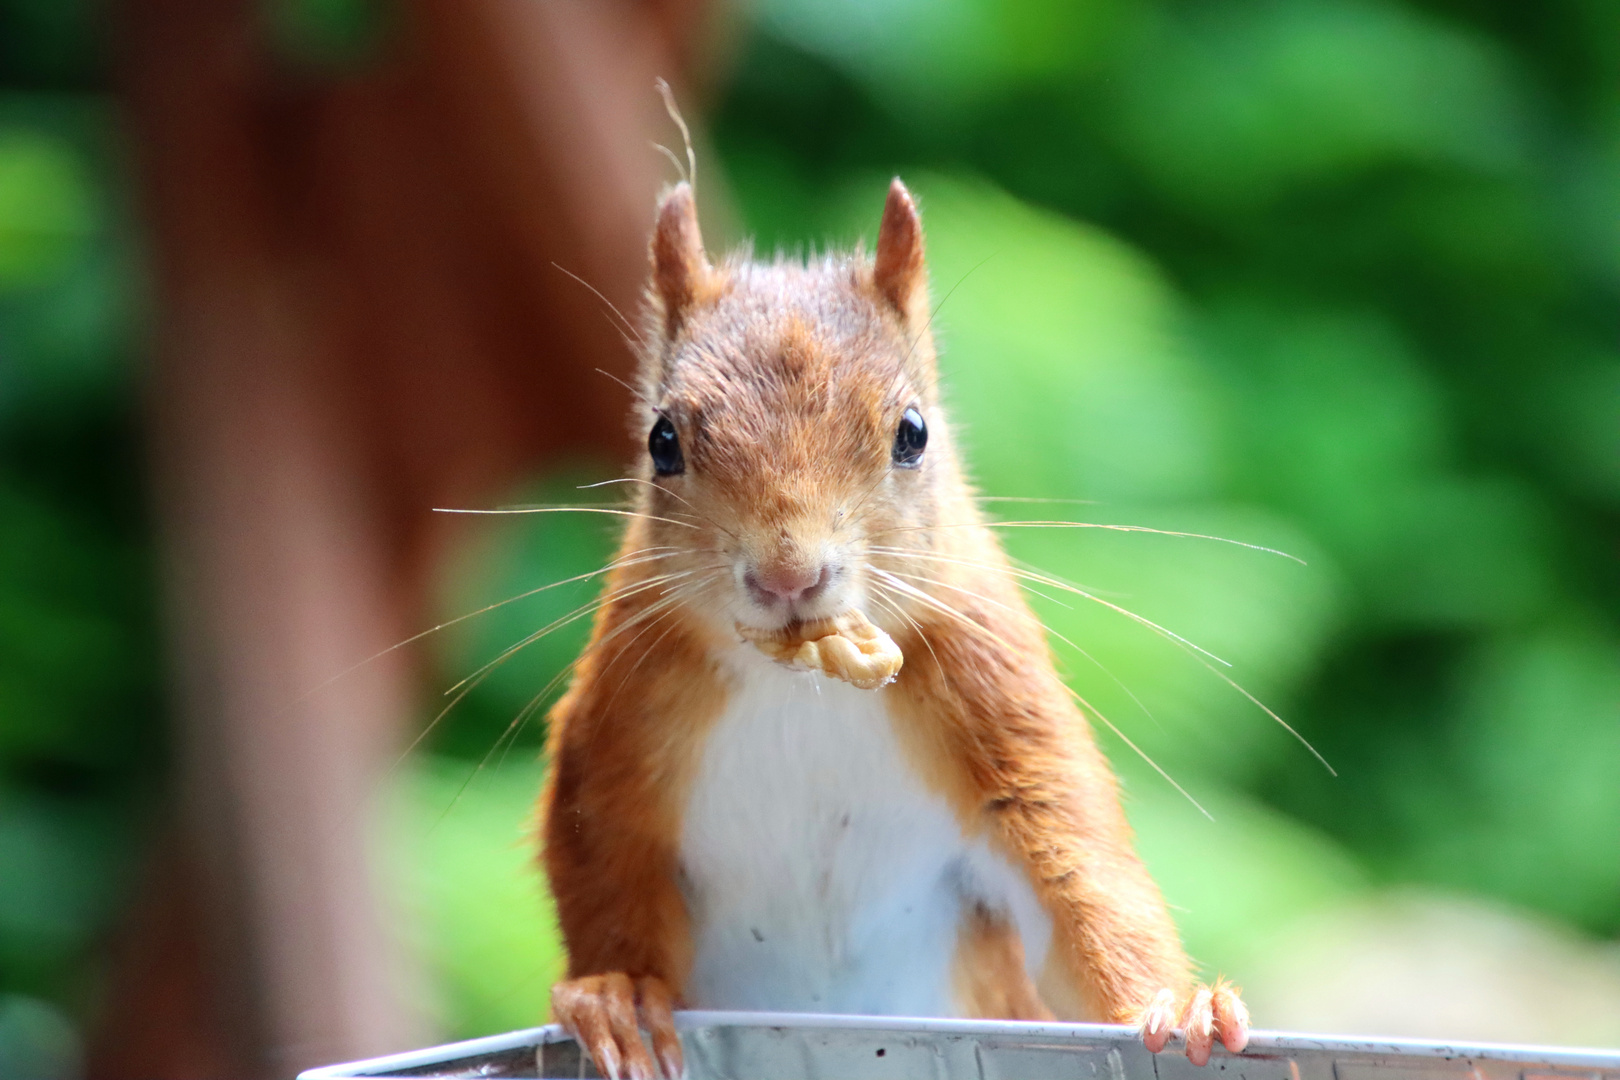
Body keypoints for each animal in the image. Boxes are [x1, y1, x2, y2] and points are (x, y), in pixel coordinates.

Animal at [537, 179, 1244, 1080]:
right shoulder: (619, 730)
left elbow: (1081, 877)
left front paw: (1178, 1007)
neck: (803, 681)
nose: (789, 576)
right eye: (662, 440)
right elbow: (600, 865)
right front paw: (620, 996)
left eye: (913, 433)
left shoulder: (998, 703)